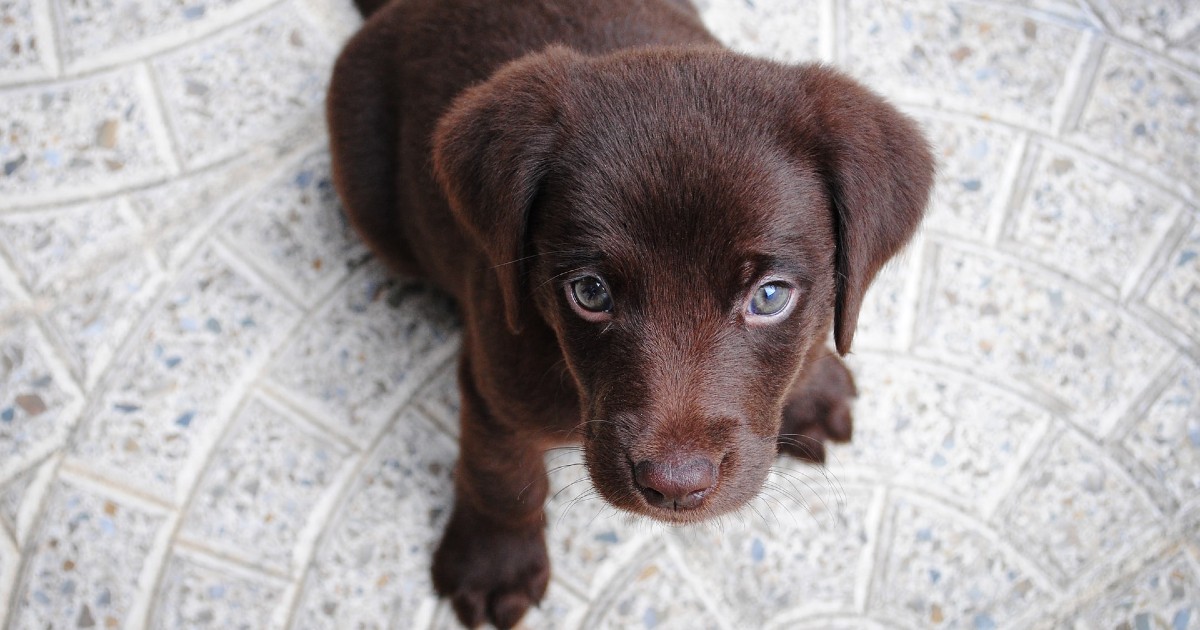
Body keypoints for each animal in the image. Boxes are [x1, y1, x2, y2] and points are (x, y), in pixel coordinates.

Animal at [328, 2, 936, 624]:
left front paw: (812, 387)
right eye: (590, 292)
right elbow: (502, 474)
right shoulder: (495, 379)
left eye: (770, 296)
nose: (675, 487)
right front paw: (495, 564)